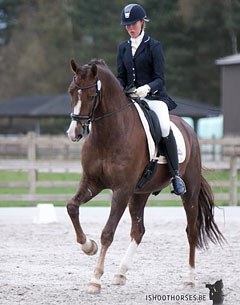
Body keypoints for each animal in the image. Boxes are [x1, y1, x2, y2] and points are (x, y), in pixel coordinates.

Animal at [66, 58, 225, 294]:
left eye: (92, 95)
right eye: (71, 92)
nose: (74, 133)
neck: (108, 134)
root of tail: (188, 128)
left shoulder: (121, 190)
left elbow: (108, 232)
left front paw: (95, 279)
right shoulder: (92, 183)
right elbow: (72, 207)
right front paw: (88, 246)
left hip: (189, 191)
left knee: (192, 230)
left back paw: (190, 278)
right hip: (139, 193)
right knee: (138, 230)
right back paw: (120, 273)